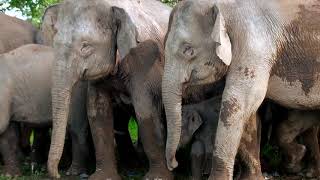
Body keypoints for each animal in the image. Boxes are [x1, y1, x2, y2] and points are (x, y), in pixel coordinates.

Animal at [45, 0, 172, 179]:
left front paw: (157, 177)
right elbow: (97, 112)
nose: (58, 175)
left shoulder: (145, 59)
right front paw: (102, 177)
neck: (112, 5)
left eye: (85, 46)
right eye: (54, 45)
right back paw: (133, 166)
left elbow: (145, 109)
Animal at [162, 0, 320, 179]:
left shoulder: (255, 46)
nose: (174, 164)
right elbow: (247, 111)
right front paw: (252, 177)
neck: (221, 6)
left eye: (188, 50)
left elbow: (236, 103)